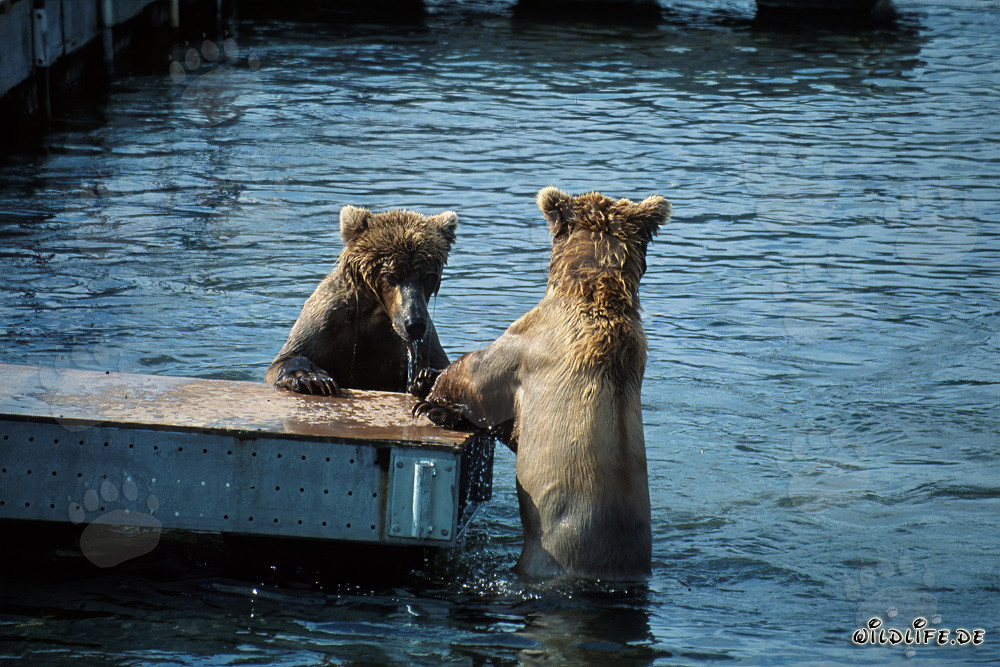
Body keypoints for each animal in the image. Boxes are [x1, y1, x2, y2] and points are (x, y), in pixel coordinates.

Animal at [266, 205, 457, 395]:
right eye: (390, 275)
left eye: (427, 276)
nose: (414, 324)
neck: (376, 314)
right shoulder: (327, 323)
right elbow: (286, 358)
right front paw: (312, 378)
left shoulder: (419, 340)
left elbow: (440, 363)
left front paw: (427, 377)